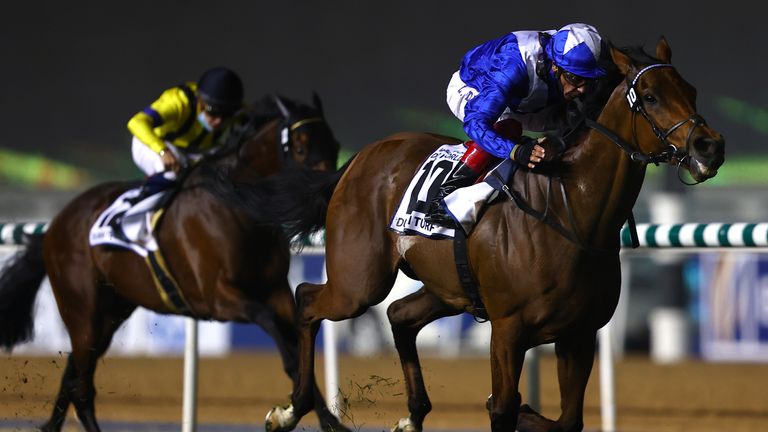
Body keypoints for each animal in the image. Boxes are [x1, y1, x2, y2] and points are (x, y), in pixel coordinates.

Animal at [0, 93, 344, 430]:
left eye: (335, 145)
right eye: (300, 147)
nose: (330, 197)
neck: (237, 208)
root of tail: (55, 226)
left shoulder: (276, 290)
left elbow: (300, 355)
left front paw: (327, 421)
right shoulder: (217, 298)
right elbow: (278, 335)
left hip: (111, 312)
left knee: (73, 376)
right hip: (82, 310)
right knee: (81, 387)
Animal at [224, 40, 728, 432]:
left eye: (690, 90)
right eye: (651, 96)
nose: (710, 146)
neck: (571, 213)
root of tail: (357, 159)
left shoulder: (579, 333)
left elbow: (565, 419)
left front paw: (527, 411)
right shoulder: (509, 329)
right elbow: (502, 408)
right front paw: (508, 407)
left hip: (446, 289)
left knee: (400, 317)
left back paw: (412, 415)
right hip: (358, 280)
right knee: (308, 300)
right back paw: (291, 410)